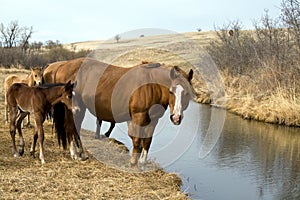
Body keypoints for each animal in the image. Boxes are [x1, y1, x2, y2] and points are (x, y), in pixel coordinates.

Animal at [44, 57, 195, 167]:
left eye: (187, 93)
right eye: (171, 91)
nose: (176, 118)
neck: (150, 84)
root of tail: (62, 65)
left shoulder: (153, 120)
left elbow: (147, 141)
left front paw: (142, 163)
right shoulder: (138, 117)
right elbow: (137, 140)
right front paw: (133, 163)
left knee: (76, 129)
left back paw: (82, 153)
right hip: (73, 109)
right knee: (70, 127)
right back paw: (74, 154)